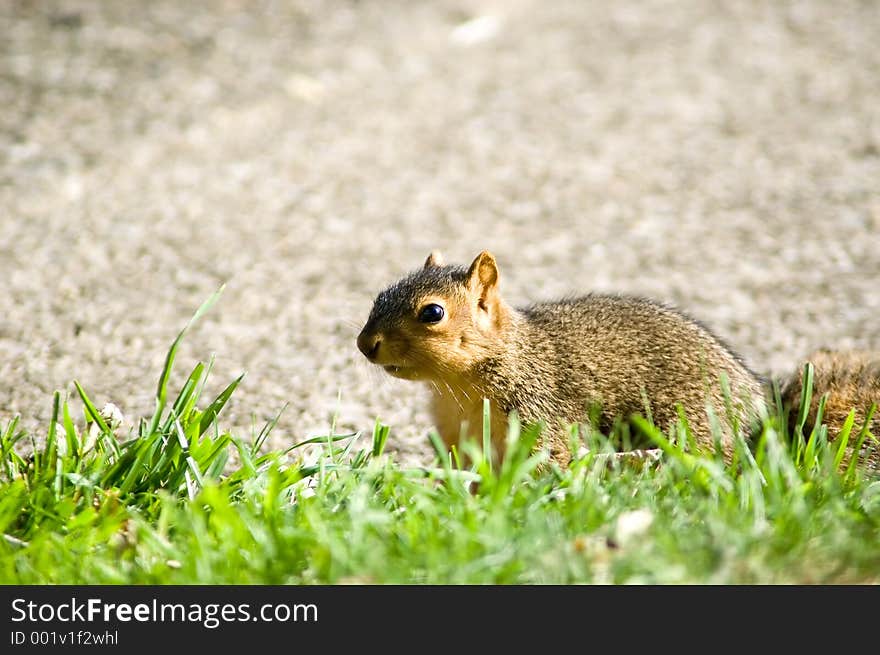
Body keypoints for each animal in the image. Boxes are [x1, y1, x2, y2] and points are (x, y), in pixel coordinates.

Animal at [356, 249, 880, 468]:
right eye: (380, 294)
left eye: (433, 313)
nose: (365, 344)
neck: (462, 387)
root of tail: (764, 411)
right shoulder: (456, 438)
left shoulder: (546, 417)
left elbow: (555, 462)